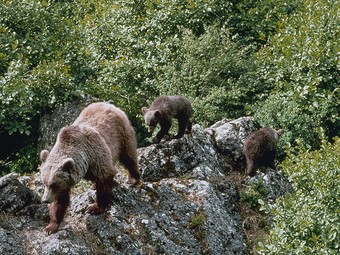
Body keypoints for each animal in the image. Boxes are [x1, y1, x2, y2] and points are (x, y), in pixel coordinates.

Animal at [39, 102, 139, 234]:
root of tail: (107, 104)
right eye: (44, 183)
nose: (45, 200)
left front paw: (95, 207)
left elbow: (105, 176)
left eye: (54, 184)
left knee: (128, 155)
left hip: (121, 133)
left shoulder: (95, 154)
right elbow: (60, 201)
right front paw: (51, 226)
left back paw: (133, 178)